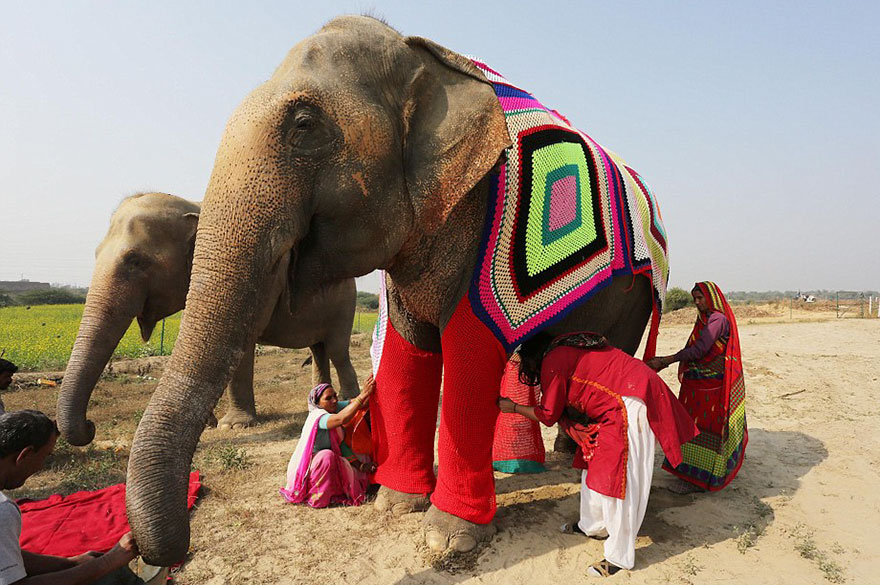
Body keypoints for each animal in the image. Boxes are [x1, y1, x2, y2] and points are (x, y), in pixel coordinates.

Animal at [57, 190, 358, 442]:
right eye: (95, 254)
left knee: (336, 349)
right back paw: (318, 403)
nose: (90, 426)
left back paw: (348, 398)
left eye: (136, 260)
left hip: (346, 304)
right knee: (318, 349)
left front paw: (233, 425)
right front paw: (209, 424)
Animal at [127, 16, 672, 564]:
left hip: (638, 295)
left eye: (304, 125)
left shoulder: (482, 224)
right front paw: (395, 504)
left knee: (614, 347)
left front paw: (448, 537)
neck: (423, 59)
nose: (160, 552)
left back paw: (576, 459)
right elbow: (408, 351)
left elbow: (469, 351)